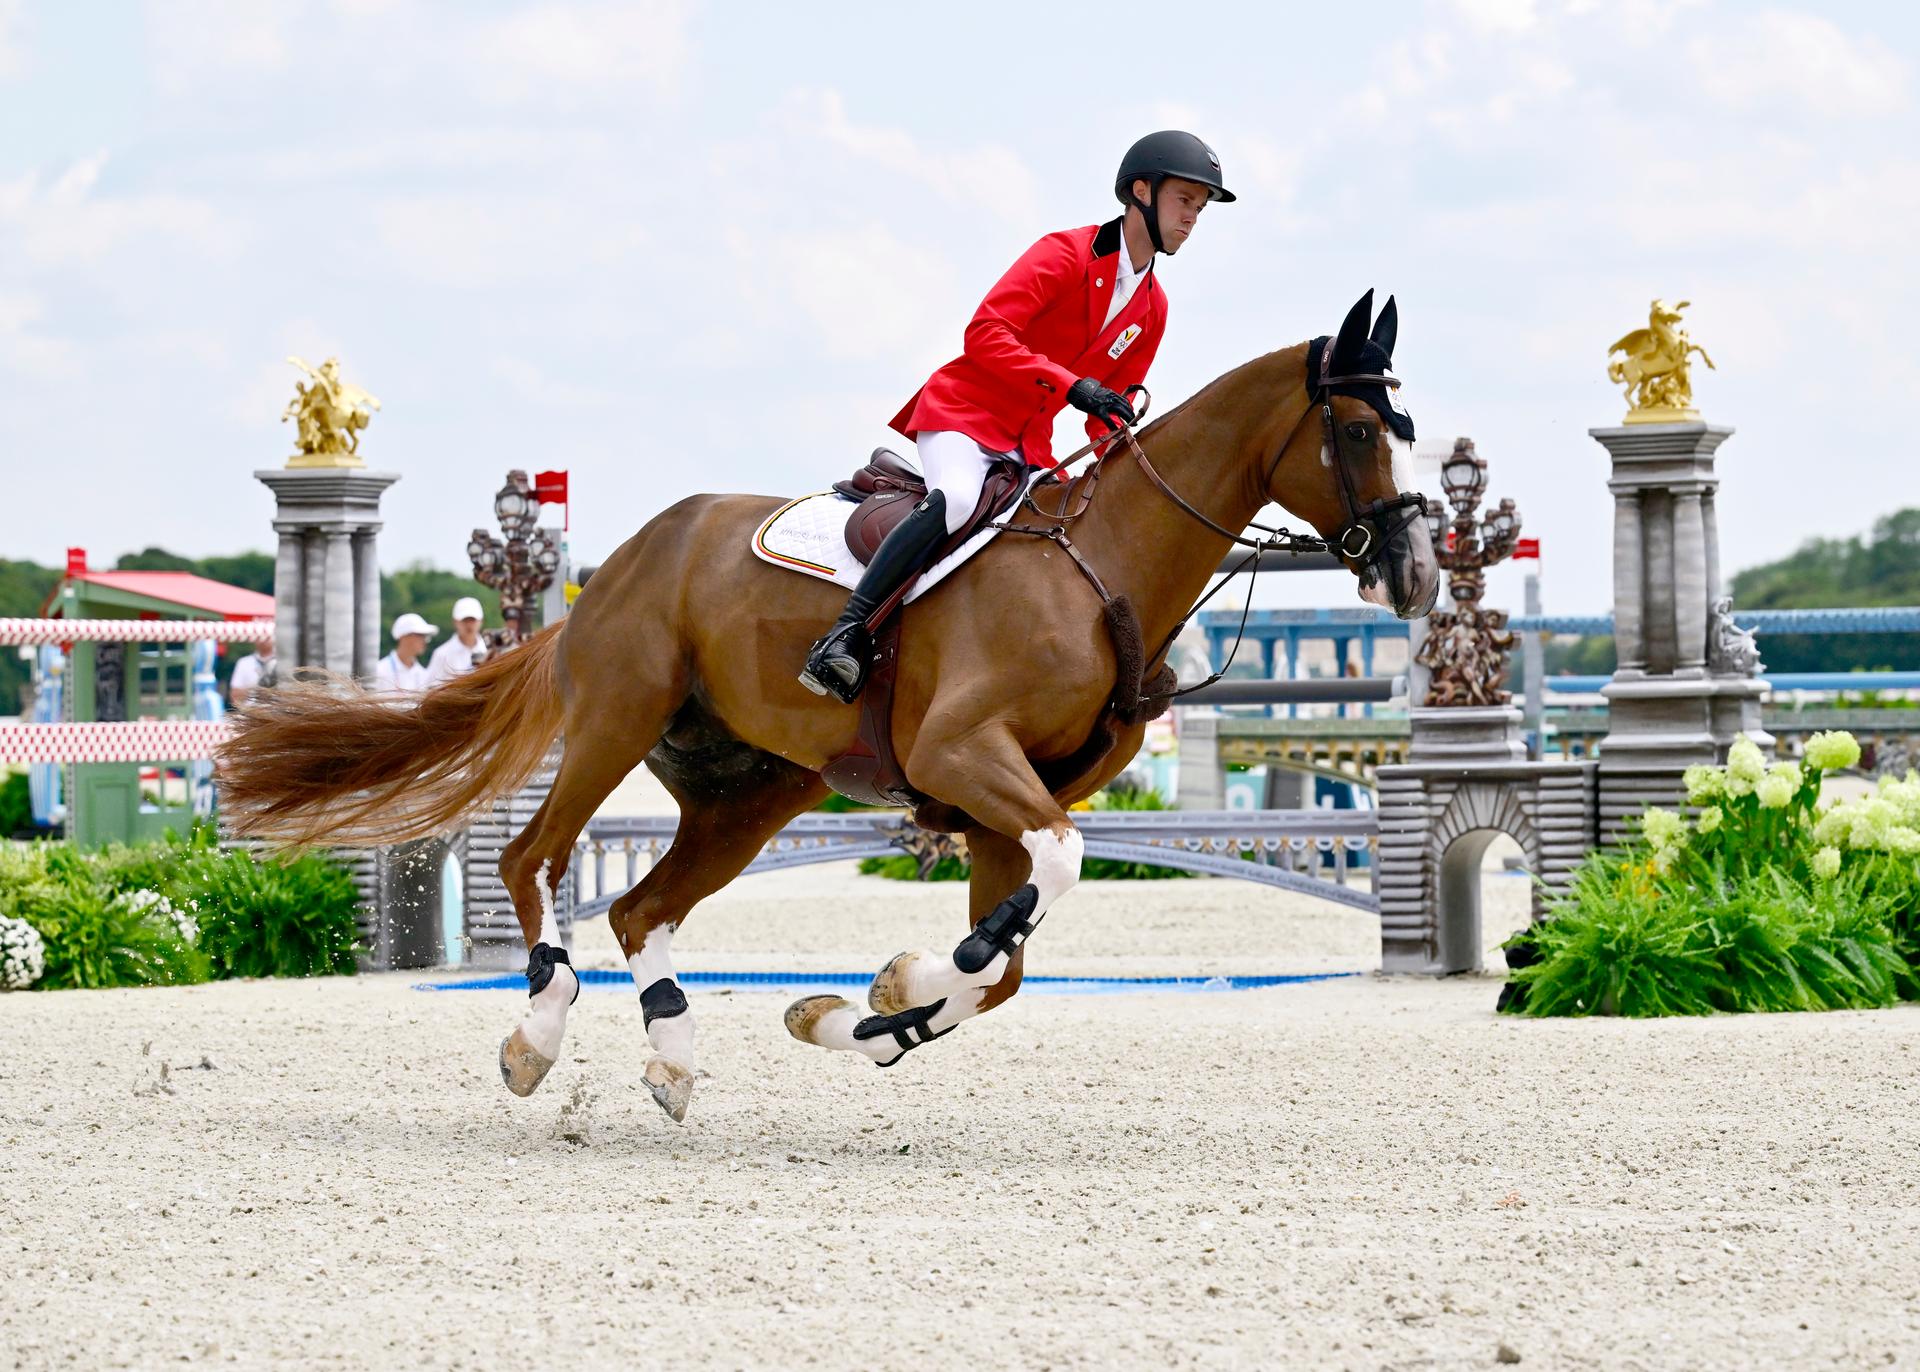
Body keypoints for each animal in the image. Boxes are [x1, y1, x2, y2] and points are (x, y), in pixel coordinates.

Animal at [218, 289, 1438, 1124]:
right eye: (1360, 432)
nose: (1418, 575)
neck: (1107, 569)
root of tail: (612, 567)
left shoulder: (994, 805)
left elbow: (1002, 967)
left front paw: (866, 1010)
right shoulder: (963, 757)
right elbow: (1046, 883)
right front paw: (901, 988)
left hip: (754, 790)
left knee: (640, 909)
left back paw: (671, 1056)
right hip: (616, 718)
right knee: (534, 859)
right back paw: (538, 1033)